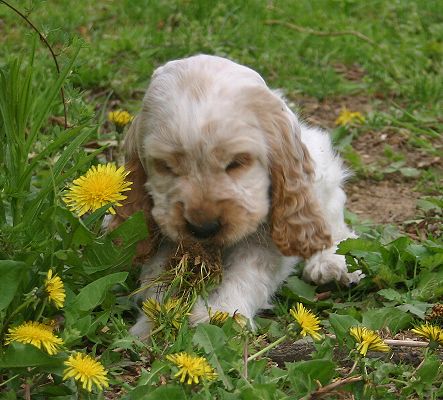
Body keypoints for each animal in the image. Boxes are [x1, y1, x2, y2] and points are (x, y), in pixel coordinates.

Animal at [110, 55, 363, 336]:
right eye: (166, 166)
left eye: (236, 163)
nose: (204, 228)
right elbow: (157, 279)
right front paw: (152, 323)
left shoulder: (267, 240)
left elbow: (246, 274)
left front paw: (220, 314)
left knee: (332, 223)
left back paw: (332, 263)